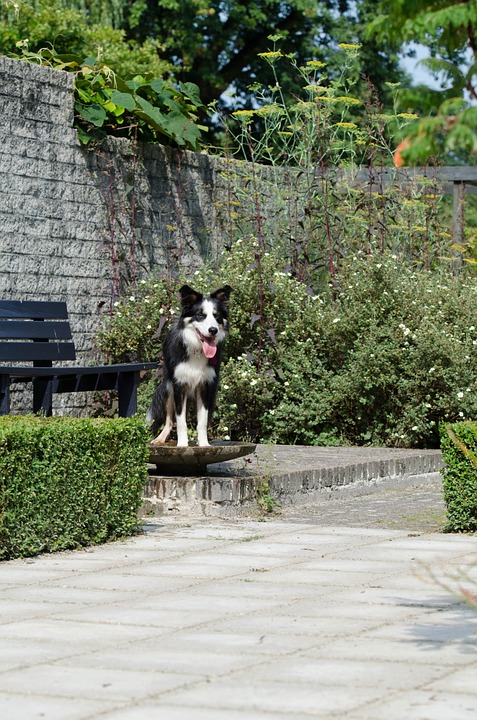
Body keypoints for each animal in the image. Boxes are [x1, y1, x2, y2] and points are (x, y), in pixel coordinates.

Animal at [147, 284, 232, 448]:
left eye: (216, 315)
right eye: (200, 315)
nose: (213, 330)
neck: (197, 349)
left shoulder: (206, 386)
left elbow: (202, 421)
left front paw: (204, 444)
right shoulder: (179, 385)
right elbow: (180, 421)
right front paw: (182, 445)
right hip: (168, 388)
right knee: (169, 420)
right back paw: (160, 439)